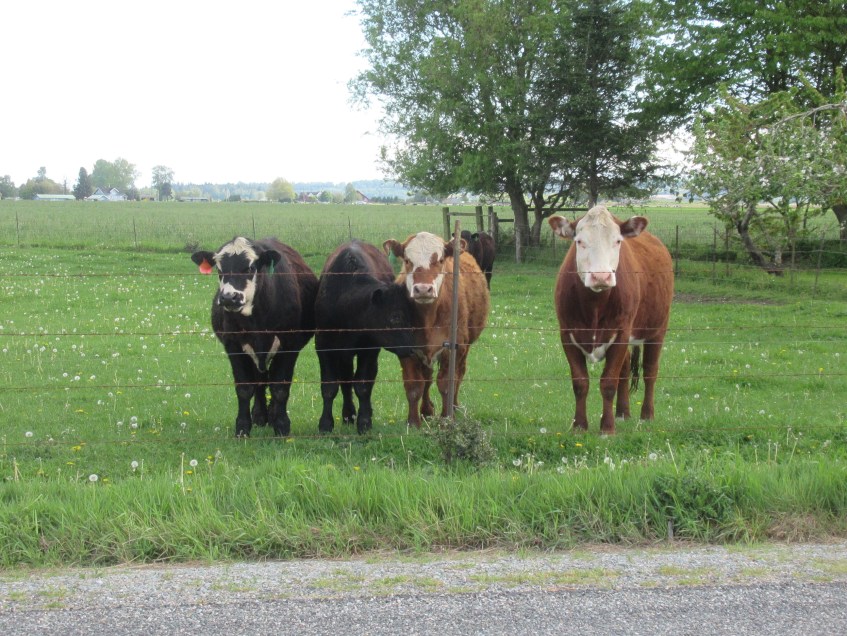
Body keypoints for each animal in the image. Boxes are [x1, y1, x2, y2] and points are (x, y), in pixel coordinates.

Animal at [191, 237, 318, 437]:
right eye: (220, 269)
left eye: (250, 268)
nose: (229, 298)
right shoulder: (233, 345)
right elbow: (244, 388)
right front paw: (243, 428)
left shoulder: (289, 345)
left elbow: (280, 387)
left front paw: (281, 426)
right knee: (260, 381)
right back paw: (260, 416)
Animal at [314, 240, 417, 434]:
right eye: (395, 317)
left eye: (412, 315)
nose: (414, 349)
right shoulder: (324, 346)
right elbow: (329, 387)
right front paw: (325, 424)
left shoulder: (369, 349)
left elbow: (363, 385)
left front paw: (364, 422)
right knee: (346, 380)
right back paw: (348, 414)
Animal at [382, 232, 490, 426]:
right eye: (407, 260)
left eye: (440, 260)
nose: (423, 289)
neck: (428, 318)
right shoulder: (406, 349)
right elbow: (414, 385)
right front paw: (413, 422)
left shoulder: (454, 347)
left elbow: (447, 383)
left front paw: (447, 418)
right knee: (427, 378)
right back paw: (426, 411)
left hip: (466, 346)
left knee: (459, 373)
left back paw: (454, 406)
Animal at [548, 205, 674, 434]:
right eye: (579, 241)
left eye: (617, 241)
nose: (601, 276)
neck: (594, 306)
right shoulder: (567, 334)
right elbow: (580, 382)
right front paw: (579, 425)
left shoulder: (621, 333)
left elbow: (608, 382)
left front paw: (607, 428)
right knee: (625, 370)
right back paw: (623, 413)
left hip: (658, 328)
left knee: (650, 370)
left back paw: (646, 415)